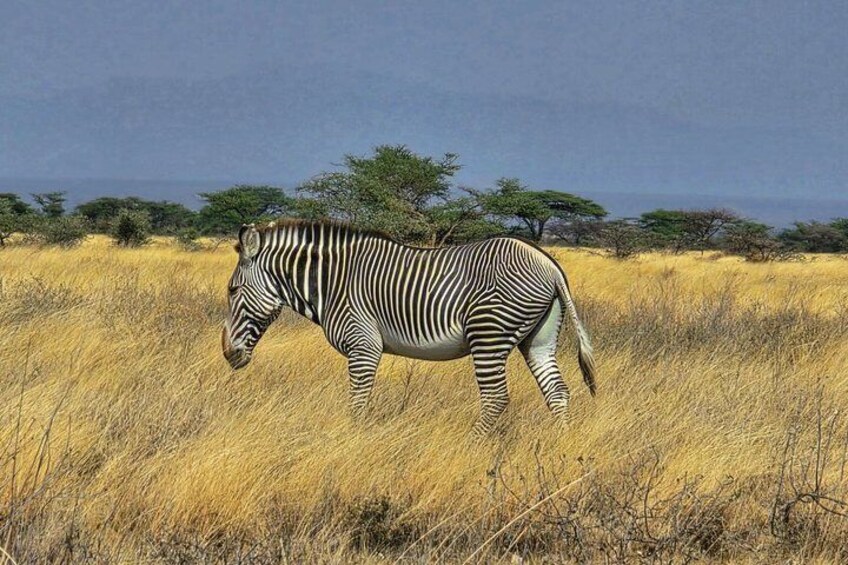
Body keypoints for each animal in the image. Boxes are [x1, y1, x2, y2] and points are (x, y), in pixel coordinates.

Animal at [222, 219, 597, 435]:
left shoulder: (363, 346)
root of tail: (548, 262)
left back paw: (472, 446)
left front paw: (354, 443)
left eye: (232, 290)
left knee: (495, 397)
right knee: (557, 392)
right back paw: (562, 446)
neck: (331, 282)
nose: (227, 355)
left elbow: (358, 403)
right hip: (538, 339)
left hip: (488, 334)